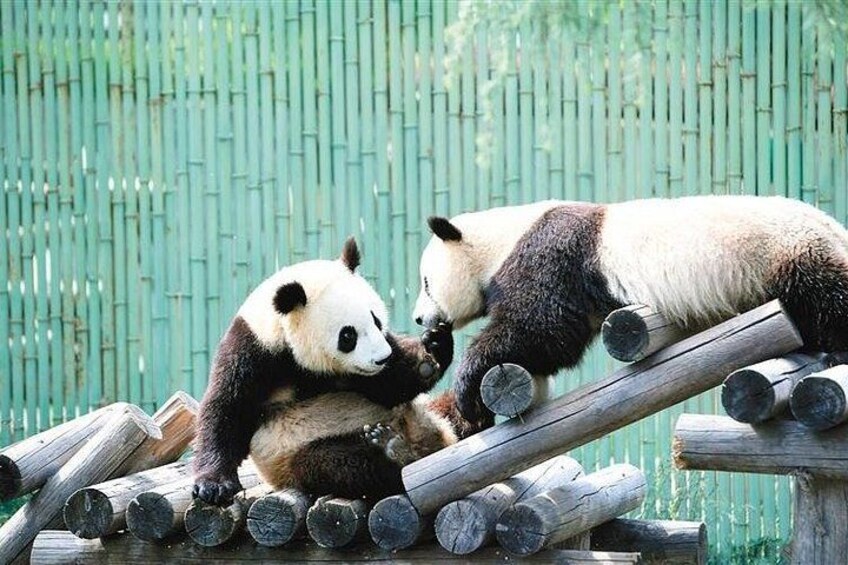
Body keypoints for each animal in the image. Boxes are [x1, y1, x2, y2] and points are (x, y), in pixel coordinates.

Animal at [193, 238, 463, 505]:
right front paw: (213, 486)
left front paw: (432, 350)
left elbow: (390, 390)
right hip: (297, 455)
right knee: (339, 464)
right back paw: (394, 451)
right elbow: (228, 409)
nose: (383, 358)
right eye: (348, 335)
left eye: (376, 321)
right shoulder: (255, 350)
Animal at [412, 195, 848, 434]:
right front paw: (438, 353)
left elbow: (540, 327)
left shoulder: (554, 256)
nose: (419, 319)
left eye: (427, 282)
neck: (501, 239)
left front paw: (468, 385)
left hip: (789, 252)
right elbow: (542, 354)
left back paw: (834, 352)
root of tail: (834, 226)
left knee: (827, 296)